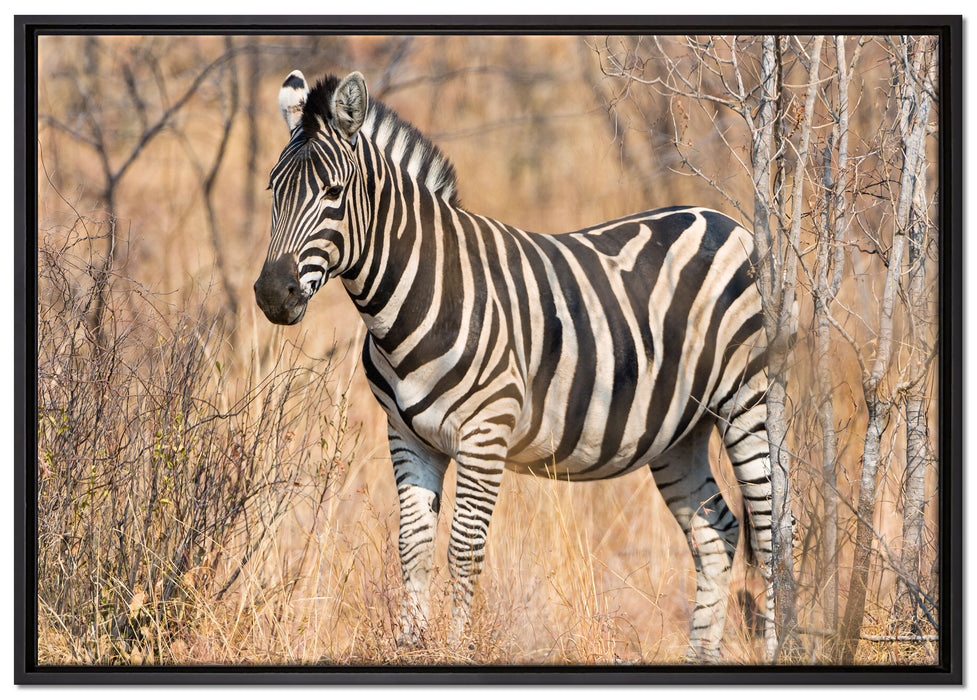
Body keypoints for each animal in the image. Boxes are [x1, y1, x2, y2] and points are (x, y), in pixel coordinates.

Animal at [254, 69, 778, 663]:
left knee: (771, 531)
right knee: (717, 533)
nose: (272, 294)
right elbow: (413, 545)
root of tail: (724, 221)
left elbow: (463, 549)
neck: (417, 295)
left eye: (334, 193)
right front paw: (412, 645)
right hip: (678, 431)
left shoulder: (486, 433)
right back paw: (701, 656)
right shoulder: (407, 435)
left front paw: (456, 650)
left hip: (748, 401)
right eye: (272, 191)